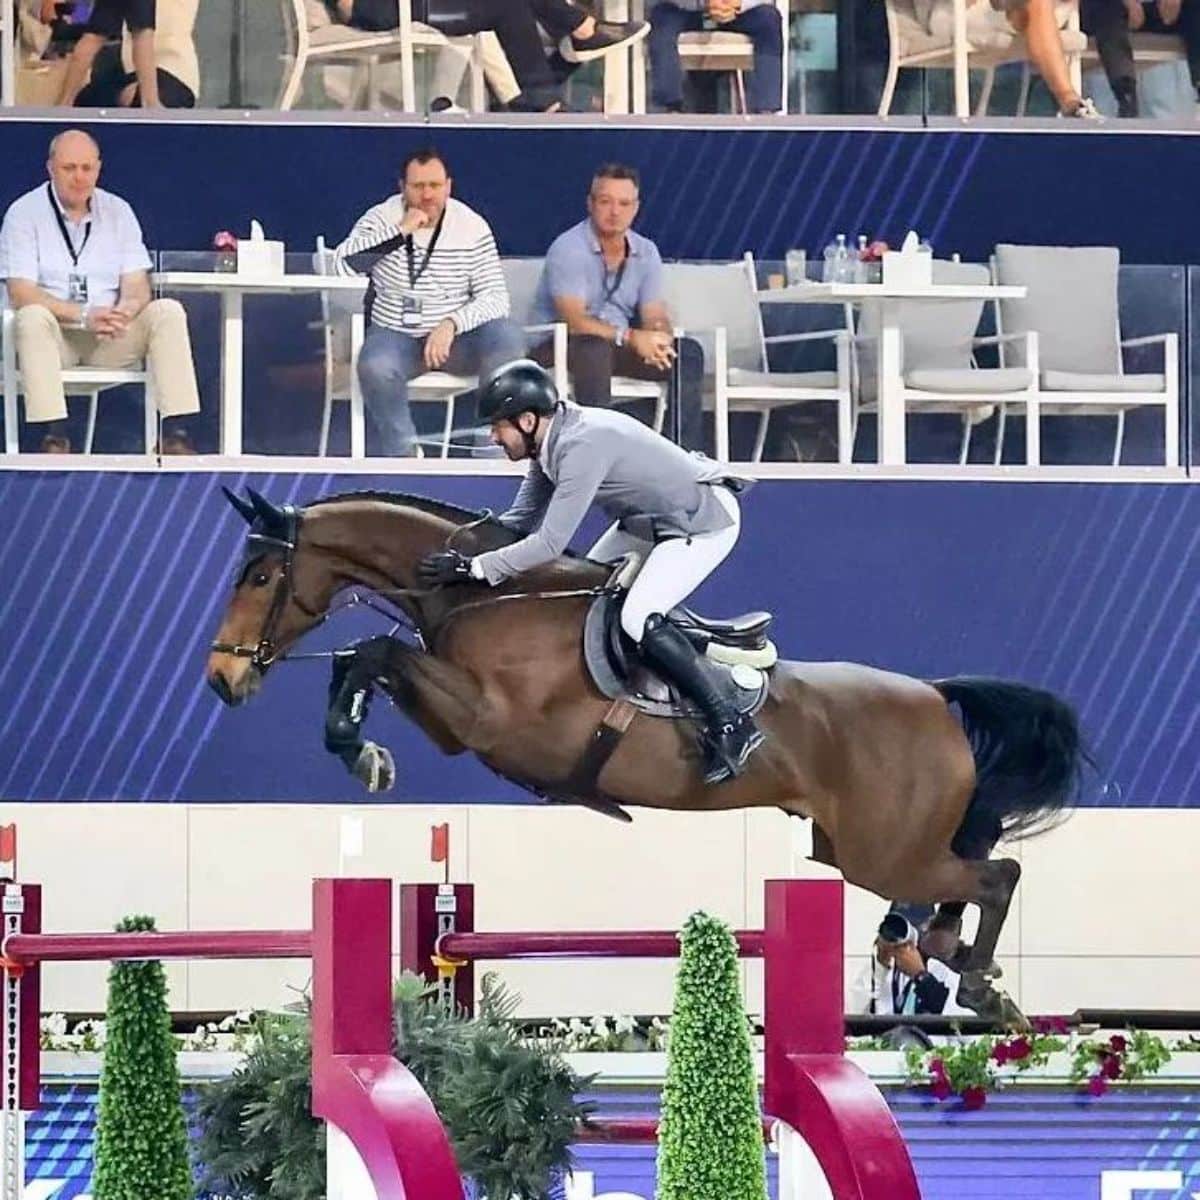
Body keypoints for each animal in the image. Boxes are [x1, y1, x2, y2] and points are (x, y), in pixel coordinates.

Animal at [206, 487, 1089, 1012]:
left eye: (259, 576)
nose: (222, 679)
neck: (483, 595)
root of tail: (936, 697)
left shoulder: (494, 722)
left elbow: (375, 652)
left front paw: (359, 749)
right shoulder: (461, 727)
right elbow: (366, 656)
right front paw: (359, 747)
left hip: (884, 852)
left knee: (996, 875)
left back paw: (974, 979)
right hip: (857, 849)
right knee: (964, 878)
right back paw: (949, 955)